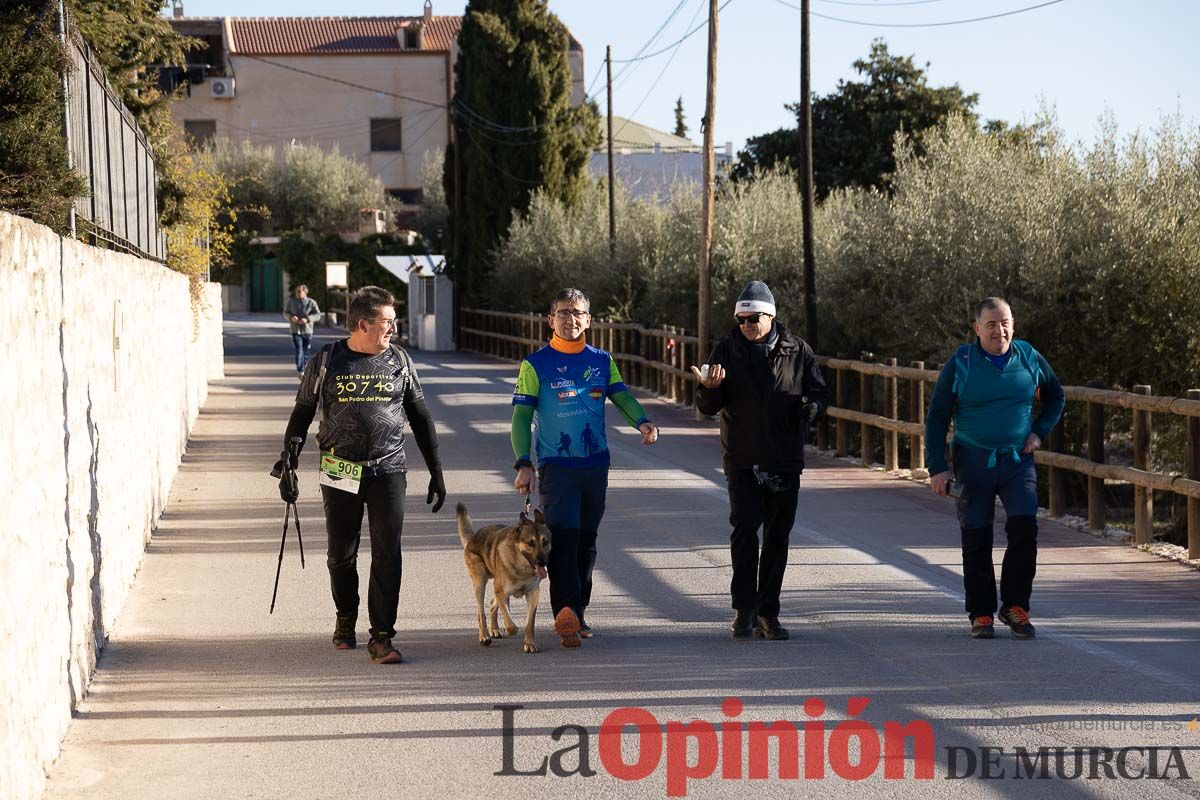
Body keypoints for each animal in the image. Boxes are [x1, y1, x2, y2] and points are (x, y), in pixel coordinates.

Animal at [453, 503, 552, 652]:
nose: (543, 562)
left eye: (545, 542)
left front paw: (529, 643)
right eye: (530, 543)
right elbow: (510, 624)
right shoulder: (501, 592)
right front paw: (511, 629)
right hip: (480, 582)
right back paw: (484, 636)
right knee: (481, 612)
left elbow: (529, 624)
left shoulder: (533, 593)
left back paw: (494, 629)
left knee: (492, 604)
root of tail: (473, 538)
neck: (521, 567)